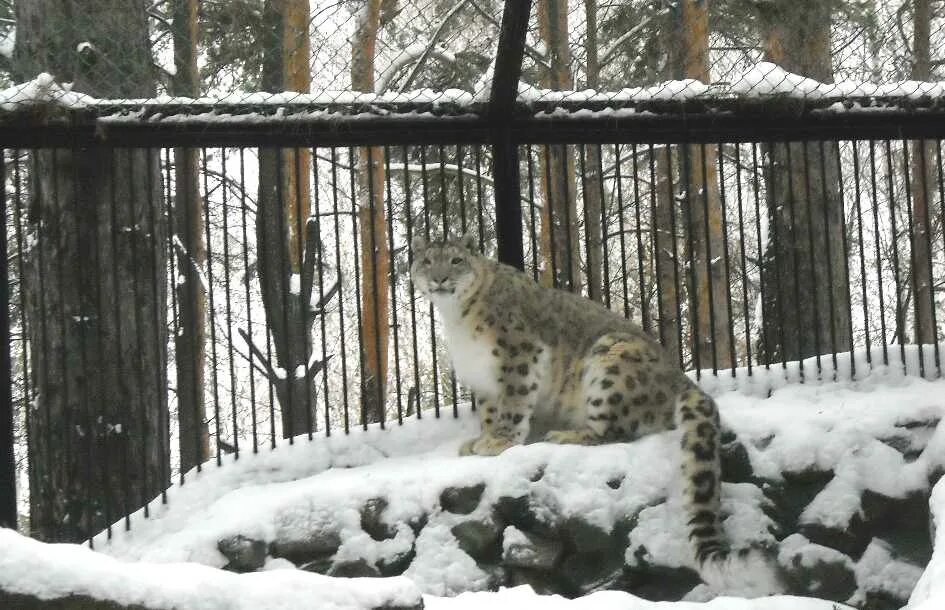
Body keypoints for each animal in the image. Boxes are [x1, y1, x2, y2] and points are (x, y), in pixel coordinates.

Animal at [412, 233, 780, 592]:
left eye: (456, 260)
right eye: (427, 260)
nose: (439, 278)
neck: (457, 319)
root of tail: (681, 378)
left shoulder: (518, 356)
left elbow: (514, 403)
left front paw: (499, 442)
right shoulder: (484, 380)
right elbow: (490, 412)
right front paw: (481, 439)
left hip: (610, 363)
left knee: (615, 432)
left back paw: (566, 435)